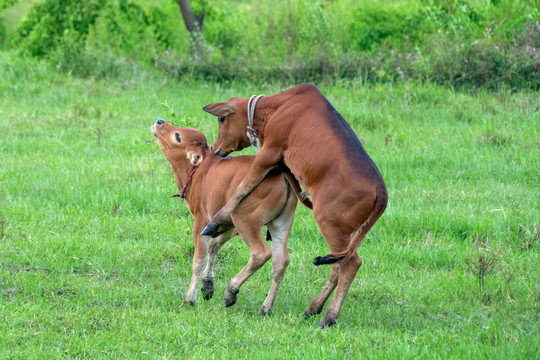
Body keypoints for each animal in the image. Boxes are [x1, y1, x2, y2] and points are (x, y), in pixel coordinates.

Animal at [152, 120, 312, 316]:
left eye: (178, 136)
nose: (159, 122)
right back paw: (266, 308)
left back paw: (232, 290)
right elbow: (214, 246)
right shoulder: (224, 224)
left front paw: (190, 299)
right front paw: (207, 285)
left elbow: (198, 260)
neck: (201, 171)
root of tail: (282, 173)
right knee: (280, 261)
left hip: (246, 221)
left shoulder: (201, 222)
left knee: (261, 253)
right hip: (280, 224)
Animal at [202, 83, 388, 326]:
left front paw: (215, 222)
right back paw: (313, 308)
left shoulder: (268, 153)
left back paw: (329, 316)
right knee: (336, 267)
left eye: (222, 119)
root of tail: (381, 193)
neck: (278, 106)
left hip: (329, 224)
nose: (214, 148)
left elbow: (241, 188)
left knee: (350, 264)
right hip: (343, 236)